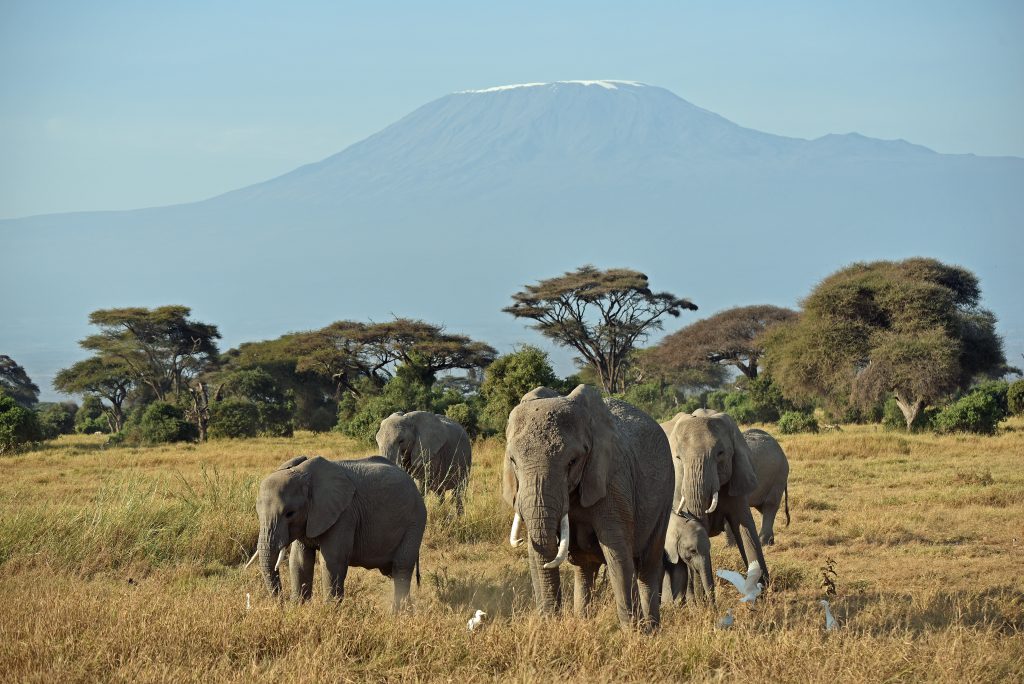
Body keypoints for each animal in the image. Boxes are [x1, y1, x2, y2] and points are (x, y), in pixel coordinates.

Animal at [255, 455, 427, 612]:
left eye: (290, 513)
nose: (280, 605)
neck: (305, 474)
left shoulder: (344, 514)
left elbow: (332, 560)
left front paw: (330, 612)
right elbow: (300, 561)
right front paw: (299, 609)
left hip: (415, 521)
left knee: (401, 567)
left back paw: (398, 615)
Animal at [504, 384, 674, 631]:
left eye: (572, 462)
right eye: (513, 461)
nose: (551, 622)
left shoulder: (613, 479)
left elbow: (618, 556)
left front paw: (634, 634)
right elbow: (537, 554)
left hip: (666, 492)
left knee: (648, 564)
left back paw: (652, 630)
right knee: (584, 567)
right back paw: (584, 621)